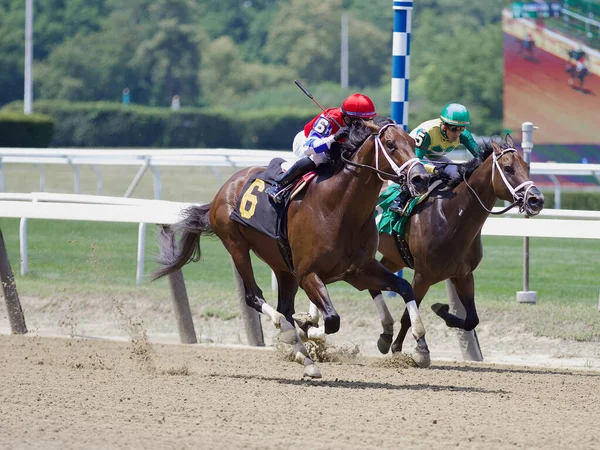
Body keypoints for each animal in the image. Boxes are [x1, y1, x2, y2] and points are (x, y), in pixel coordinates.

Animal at [152, 118, 428, 376]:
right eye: (390, 145)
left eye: (413, 142)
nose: (421, 178)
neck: (339, 209)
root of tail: (225, 187)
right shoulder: (308, 274)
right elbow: (332, 320)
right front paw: (307, 327)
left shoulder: (358, 270)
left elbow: (404, 287)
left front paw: (420, 346)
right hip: (236, 245)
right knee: (255, 297)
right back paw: (288, 333)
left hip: (283, 265)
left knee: (284, 307)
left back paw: (304, 357)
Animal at [370, 134, 544, 362]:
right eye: (508, 169)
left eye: (526, 166)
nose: (536, 200)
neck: (450, 216)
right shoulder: (422, 276)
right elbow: (408, 315)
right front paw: (411, 349)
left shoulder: (463, 274)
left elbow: (472, 320)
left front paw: (441, 310)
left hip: (392, 257)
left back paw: (384, 334)